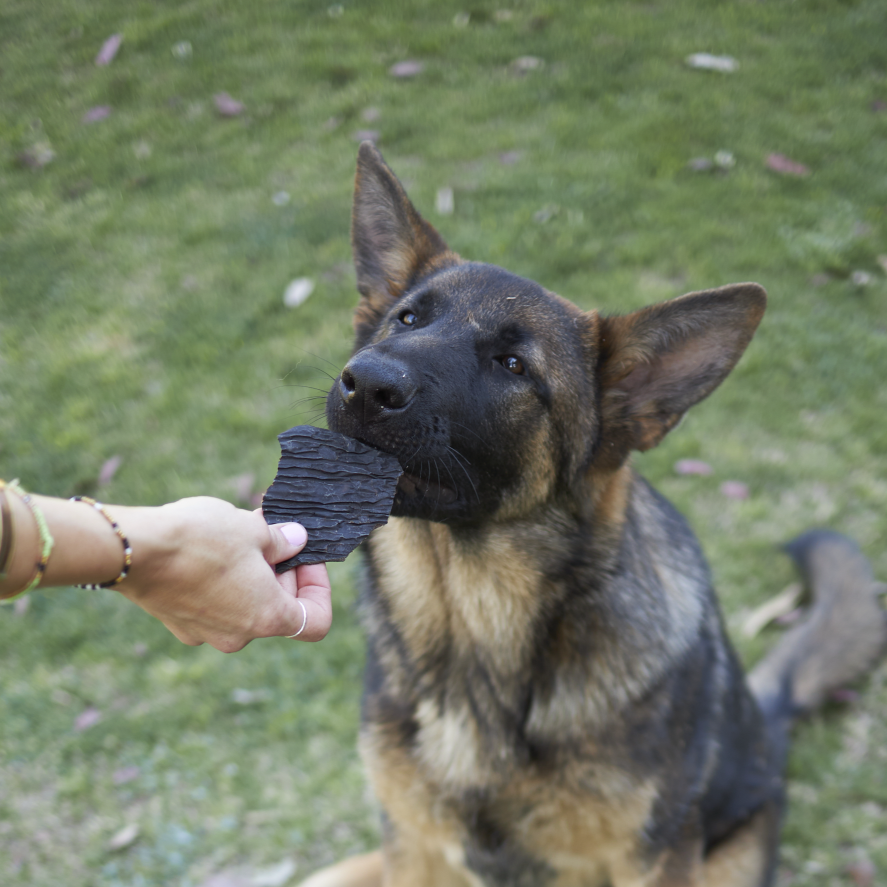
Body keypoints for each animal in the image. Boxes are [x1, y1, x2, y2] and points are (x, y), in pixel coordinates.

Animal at [300, 142, 887, 884]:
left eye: (514, 366)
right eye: (407, 319)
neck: (472, 635)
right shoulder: (414, 845)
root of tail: (766, 719)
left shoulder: (647, 862)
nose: (366, 383)